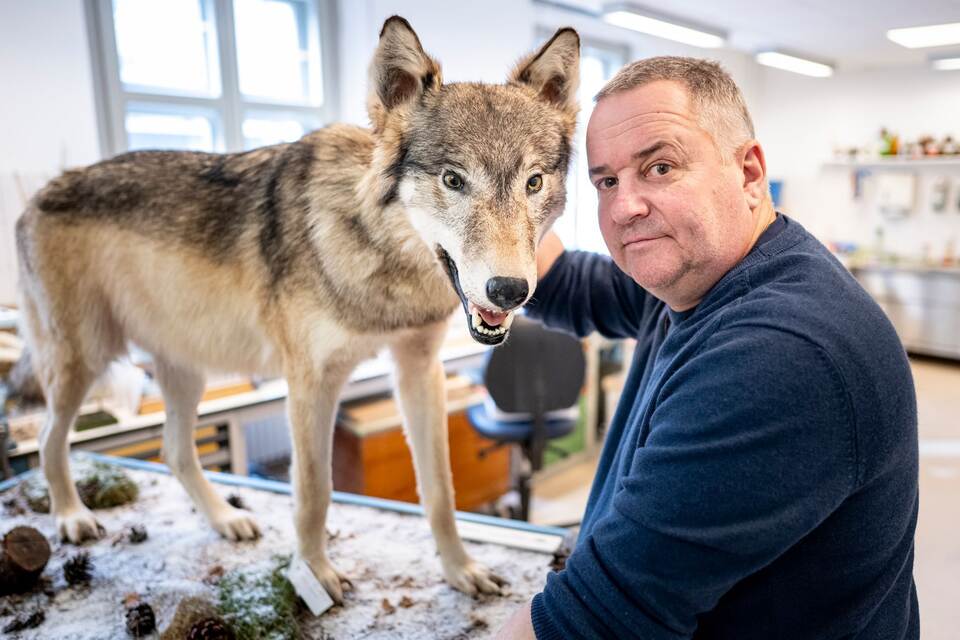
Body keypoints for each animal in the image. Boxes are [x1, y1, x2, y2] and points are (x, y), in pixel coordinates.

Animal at [14, 16, 579, 602]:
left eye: (534, 182)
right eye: (453, 180)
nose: (510, 290)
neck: (378, 253)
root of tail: (39, 194)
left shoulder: (419, 370)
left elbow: (440, 490)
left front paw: (459, 569)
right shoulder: (311, 382)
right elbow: (314, 490)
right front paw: (315, 573)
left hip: (184, 371)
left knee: (174, 451)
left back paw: (226, 519)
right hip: (83, 362)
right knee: (48, 440)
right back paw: (72, 516)